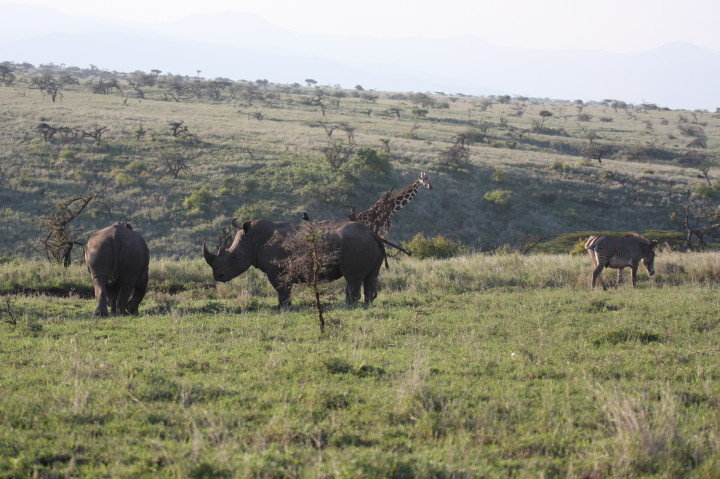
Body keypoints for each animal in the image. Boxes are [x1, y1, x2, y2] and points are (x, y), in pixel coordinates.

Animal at [203, 218, 386, 308]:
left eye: (233, 257)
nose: (218, 276)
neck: (253, 240)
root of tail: (372, 234)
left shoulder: (277, 270)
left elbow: (282, 289)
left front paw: (285, 307)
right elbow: (282, 290)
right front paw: (280, 307)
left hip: (356, 244)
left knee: (352, 278)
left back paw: (347, 306)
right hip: (365, 243)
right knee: (371, 276)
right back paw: (367, 304)